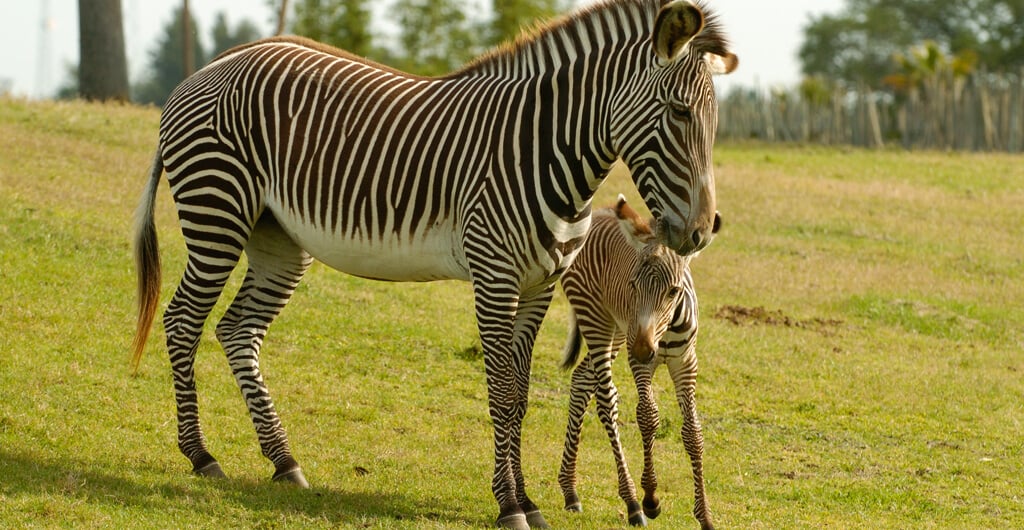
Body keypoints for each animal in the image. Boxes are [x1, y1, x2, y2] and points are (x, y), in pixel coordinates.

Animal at [557, 195, 716, 528]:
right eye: (633, 285)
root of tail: (599, 211)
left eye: (673, 291)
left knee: (582, 379)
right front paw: (651, 498)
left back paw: (570, 490)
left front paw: (705, 514)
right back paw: (631, 501)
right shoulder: (640, 361)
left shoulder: (686, 362)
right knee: (606, 399)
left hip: (618, 332)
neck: (666, 330)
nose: (645, 349)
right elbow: (647, 416)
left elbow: (692, 431)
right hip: (598, 321)